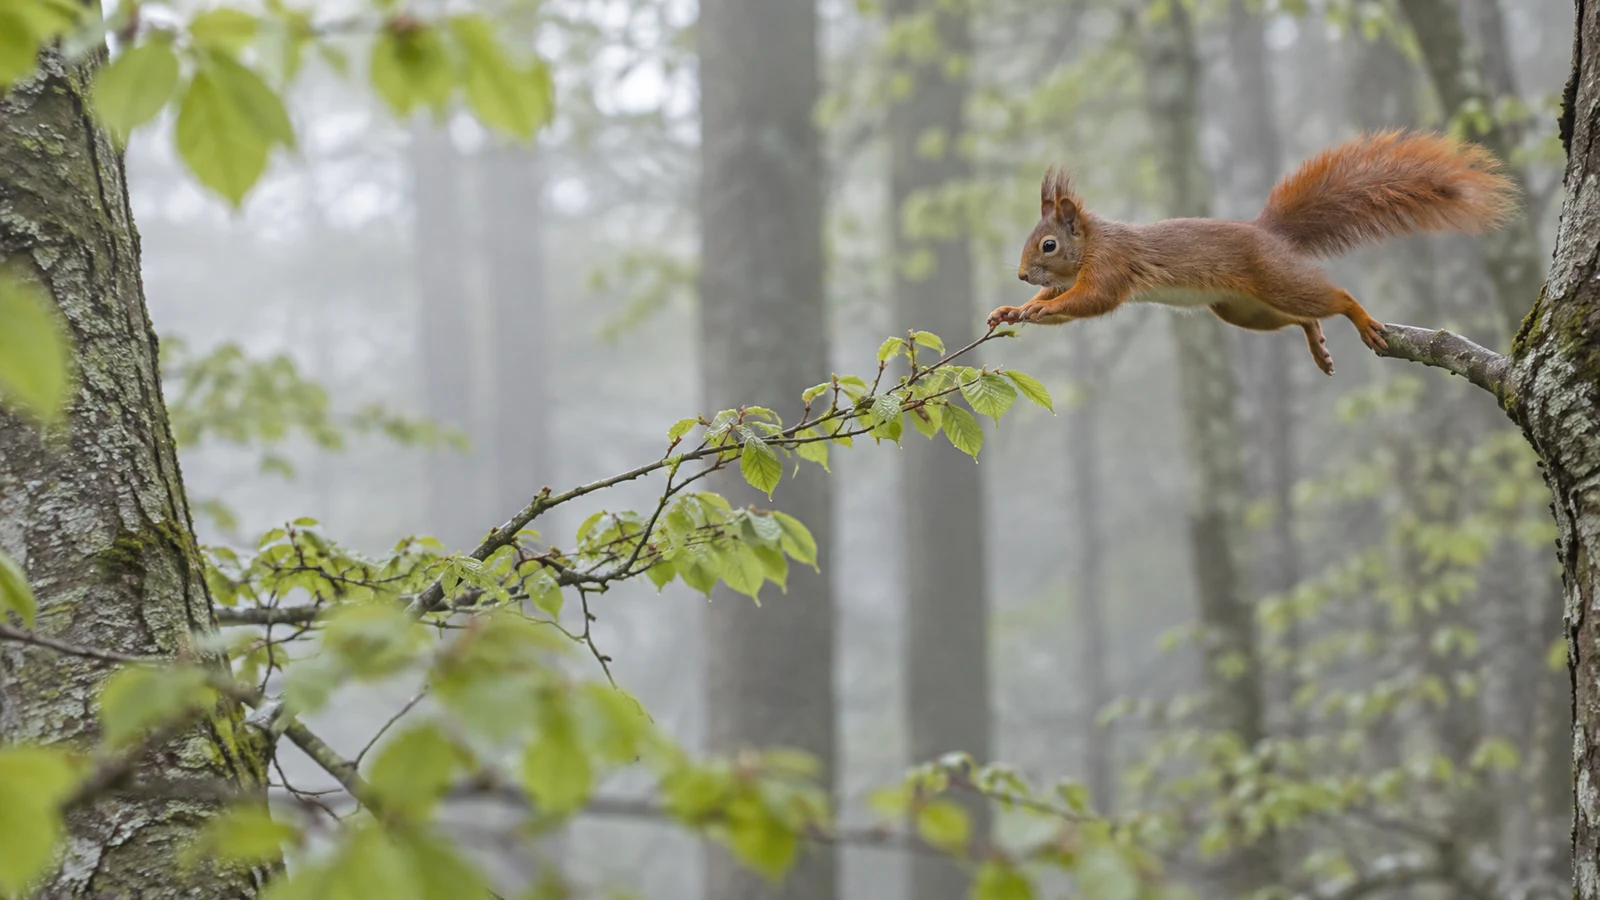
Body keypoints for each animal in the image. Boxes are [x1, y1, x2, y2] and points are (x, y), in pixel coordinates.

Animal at [986, 130, 1517, 375]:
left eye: (1049, 245)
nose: (1021, 275)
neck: (1094, 242)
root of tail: (1267, 235)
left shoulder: (1112, 268)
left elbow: (1090, 301)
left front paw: (1038, 309)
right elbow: (1059, 303)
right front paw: (1014, 310)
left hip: (1275, 280)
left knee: (1333, 297)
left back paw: (1360, 318)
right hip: (1242, 309)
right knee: (1301, 317)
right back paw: (1316, 342)